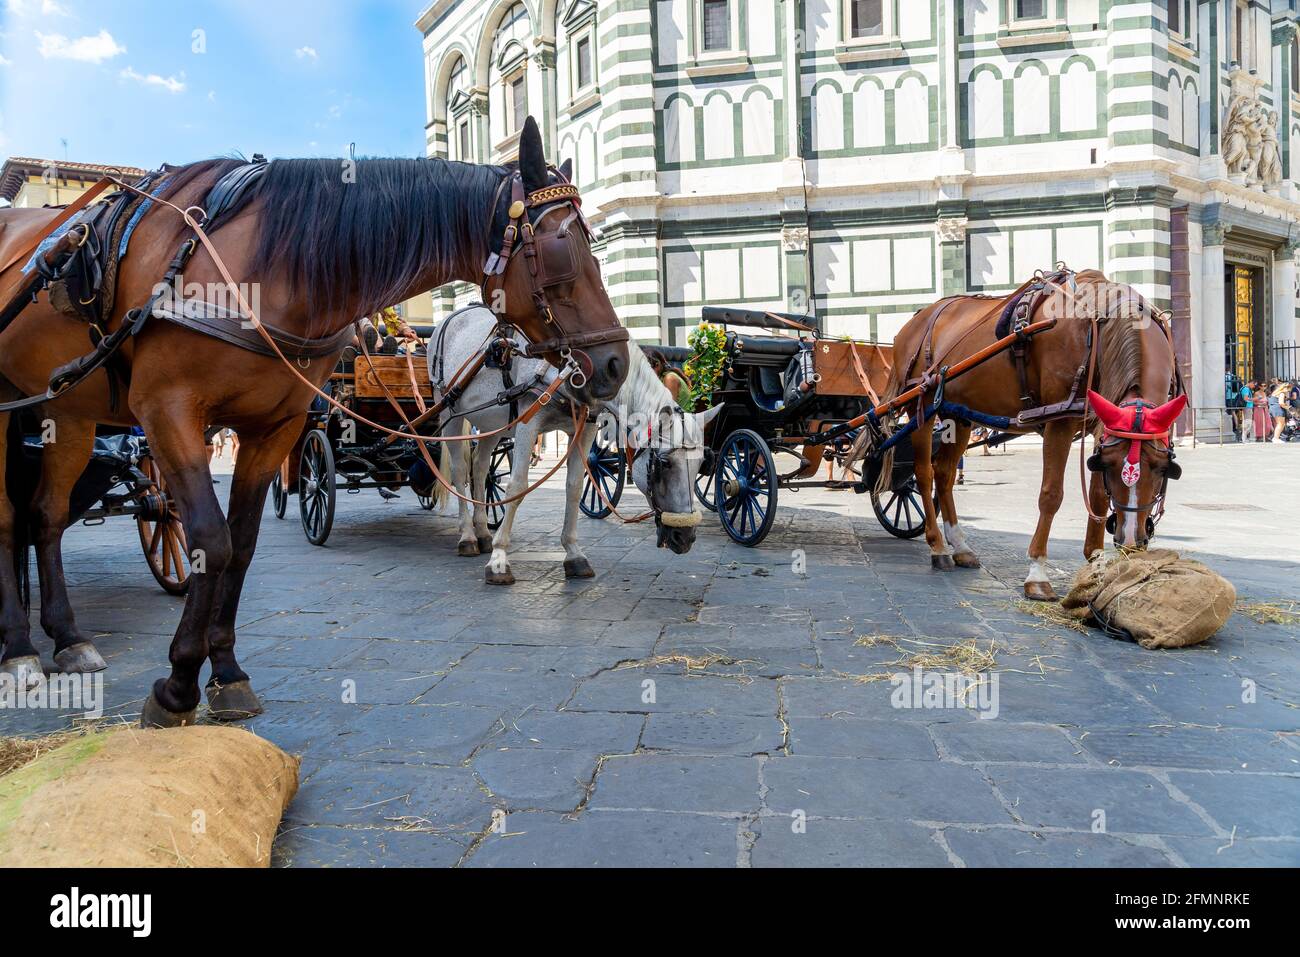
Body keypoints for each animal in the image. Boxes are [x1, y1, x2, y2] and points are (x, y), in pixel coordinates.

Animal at [0, 115, 629, 722]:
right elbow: (209, 539)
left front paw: (227, 673)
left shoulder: (274, 425)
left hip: (66, 411)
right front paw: (177, 685)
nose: (616, 363)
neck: (261, 266)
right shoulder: (168, 412)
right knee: (11, 521)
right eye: (563, 251)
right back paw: (20, 651)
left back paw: (67, 639)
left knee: (46, 516)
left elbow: (241, 543)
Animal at [426, 304, 717, 582]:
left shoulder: (585, 427)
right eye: (664, 464)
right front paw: (499, 559)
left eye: (702, 464)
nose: (686, 538)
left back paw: (483, 532)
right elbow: (517, 486)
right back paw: (468, 536)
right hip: (448, 411)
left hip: (491, 423)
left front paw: (574, 555)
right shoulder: (528, 421)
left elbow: (575, 487)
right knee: (459, 472)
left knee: (480, 468)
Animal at [889, 269, 1185, 598]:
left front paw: (1095, 565)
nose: (1131, 541)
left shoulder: (1101, 425)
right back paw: (938, 546)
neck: (1095, 333)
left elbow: (1097, 496)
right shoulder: (1060, 420)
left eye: (1162, 468)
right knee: (924, 473)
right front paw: (1037, 574)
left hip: (958, 413)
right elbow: (1051, 494)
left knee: (944, 474)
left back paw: (960, 546)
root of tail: (916, 319)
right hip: (922, 405)